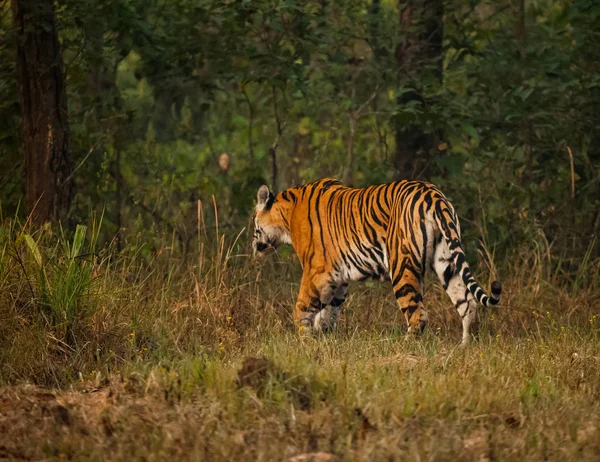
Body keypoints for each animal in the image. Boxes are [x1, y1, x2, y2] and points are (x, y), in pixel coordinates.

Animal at [252, 177, 502, 342]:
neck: (286, 216)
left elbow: (302, 307)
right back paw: (465, 347)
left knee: (418, 315)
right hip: (446, 260)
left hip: (401, 266)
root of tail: (433, 194)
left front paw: (303, 339)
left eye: (254, 225)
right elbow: (328, 312)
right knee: (468, 304)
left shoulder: (316, 270)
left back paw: (405, 348)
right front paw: (322, 339)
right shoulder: (338, 278)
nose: (253, 245)